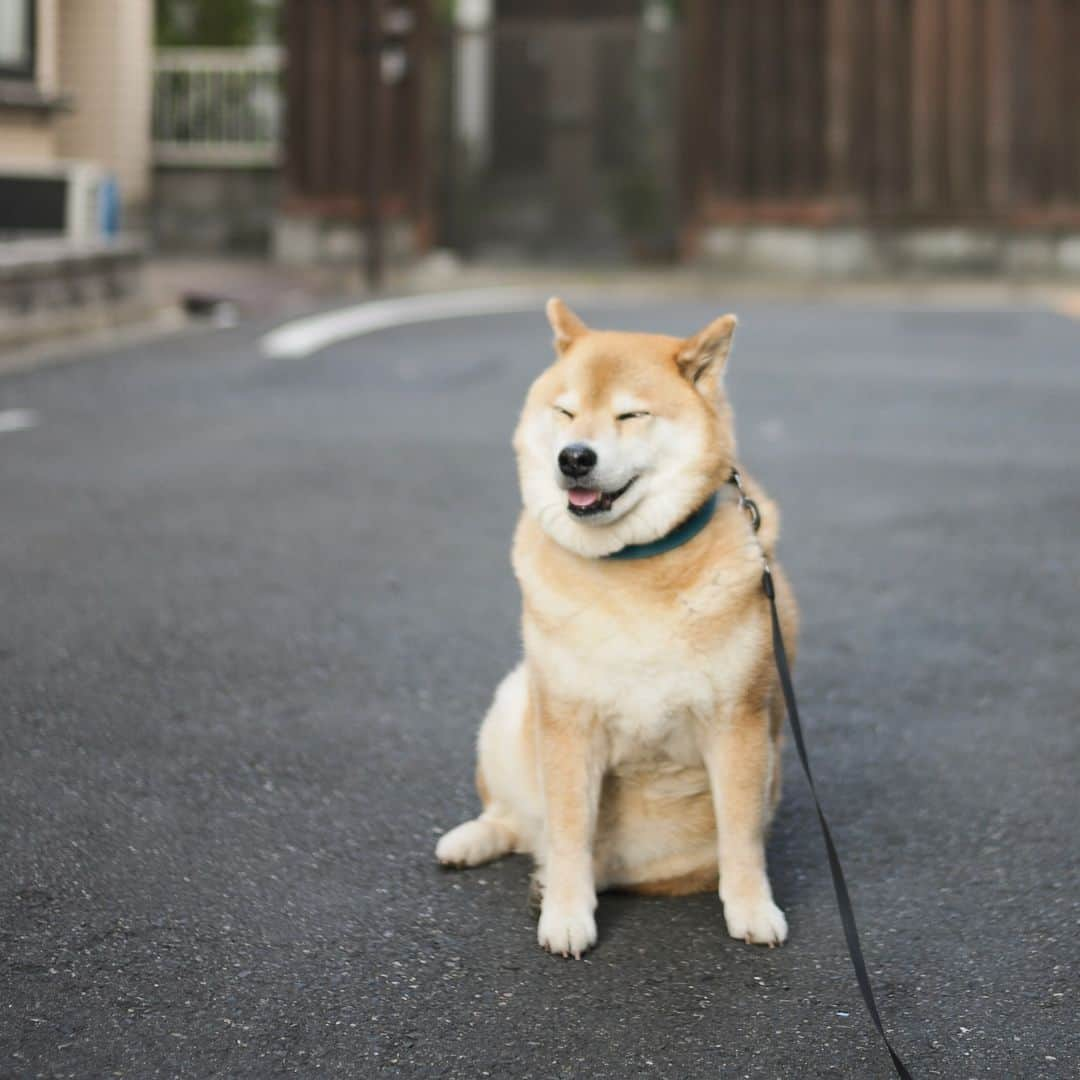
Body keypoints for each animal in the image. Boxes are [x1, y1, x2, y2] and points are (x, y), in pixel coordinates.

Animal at [434, 300, 799, 959]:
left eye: (631, 414)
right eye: (566, 411)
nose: (574, 456)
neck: (632, 566)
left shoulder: (738, 724)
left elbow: (740, 836)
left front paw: (752, 908)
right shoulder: (566, 722)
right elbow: (569, 828)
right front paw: (567, 915)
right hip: (513, 707)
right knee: (521, 821)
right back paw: (475, 843)